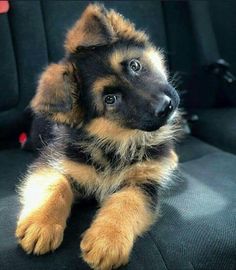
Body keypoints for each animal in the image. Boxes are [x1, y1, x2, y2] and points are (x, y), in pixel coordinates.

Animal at [15, 4, 181, 270]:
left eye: (135, 66)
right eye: (110, 99)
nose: (165, 106)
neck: (119, 142)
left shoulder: (143, 183)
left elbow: (126, 202)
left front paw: (107, 239)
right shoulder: (50, 160)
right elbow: (56, 185)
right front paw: (40, 223)